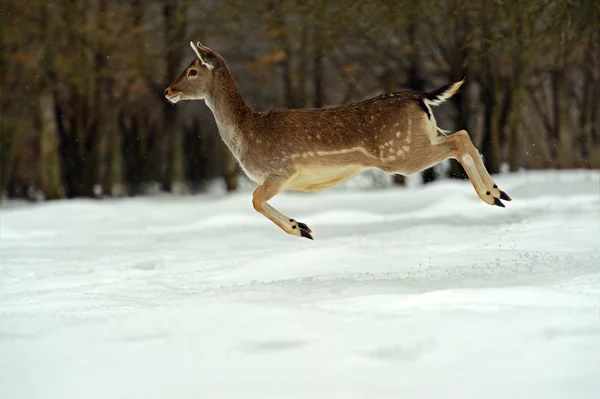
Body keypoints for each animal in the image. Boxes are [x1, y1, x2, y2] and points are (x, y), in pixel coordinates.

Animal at [164, 41, 510, 241]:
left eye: (192, 70)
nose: (168, 91)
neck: (245, 135)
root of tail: (420, 96)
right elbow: (255, 200)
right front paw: (302, 227)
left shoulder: (281, 171)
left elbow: (255, 200)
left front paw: (301, 229)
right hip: (422, 136)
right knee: (461, 134)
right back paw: (498, 193)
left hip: (399, 153)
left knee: (459, 141)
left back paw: (491, 195)